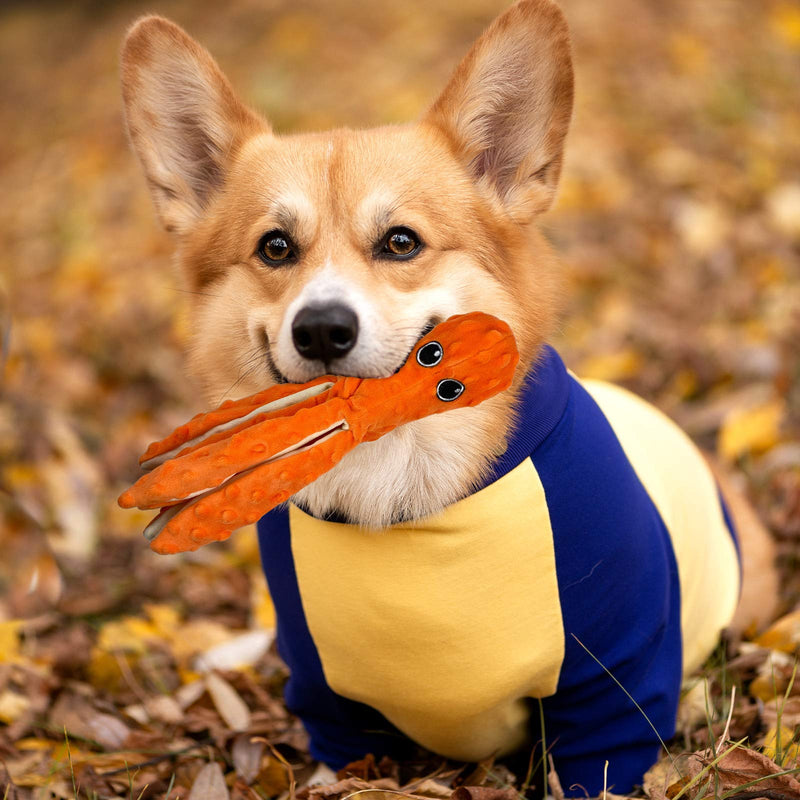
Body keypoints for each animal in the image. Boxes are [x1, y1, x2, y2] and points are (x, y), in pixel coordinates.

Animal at [122, 3, 780, 792]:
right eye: (275, 248)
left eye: (401, 242)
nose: (322, 329)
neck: (398, 480)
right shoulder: (328, 702)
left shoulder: (612, 682)